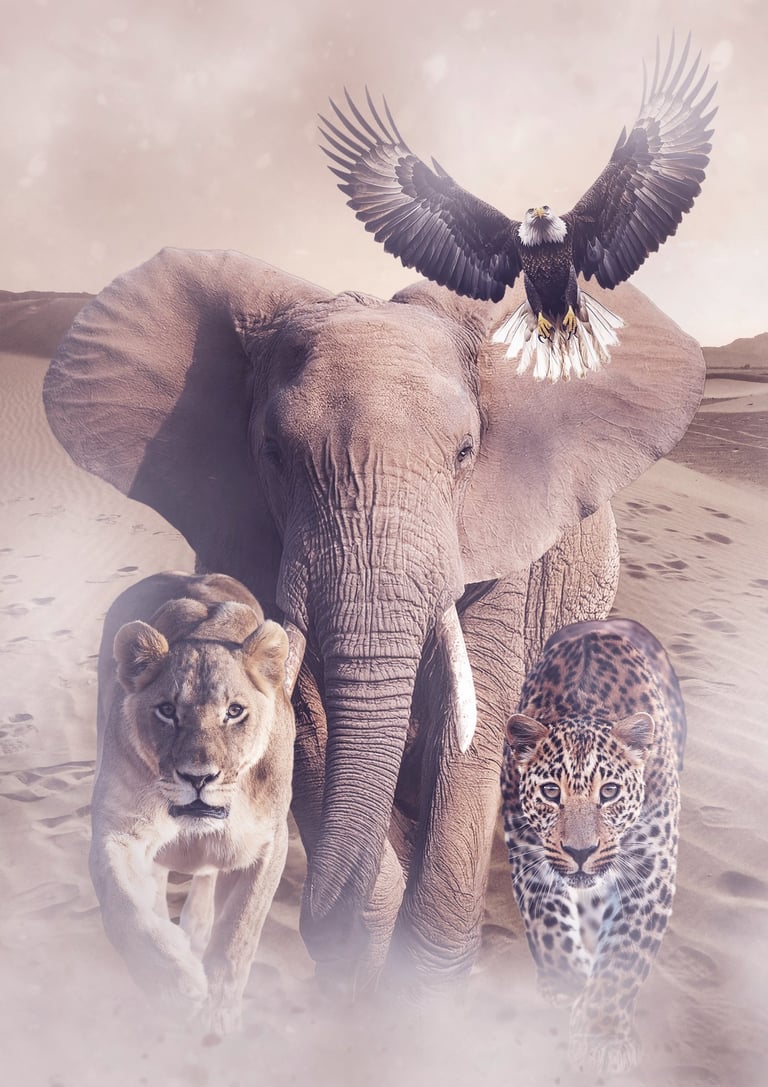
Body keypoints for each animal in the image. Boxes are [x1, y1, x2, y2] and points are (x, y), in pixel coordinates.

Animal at [91, 571, 298, 1035]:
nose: (198, 777)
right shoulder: (117, 828)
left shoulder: (269, 841)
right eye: (167, 711)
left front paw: (219, 1008)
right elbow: (123, 906)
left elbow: (241, 928)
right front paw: (174, 982)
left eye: (234, 712)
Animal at [500, 617, 686, 1075]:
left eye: (610, 791)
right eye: (551, 792)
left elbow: (624, 958)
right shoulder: (529, 858)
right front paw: (569, 986)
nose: (581, 852)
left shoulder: (650, 874)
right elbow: (548, 929)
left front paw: (602, 1035)